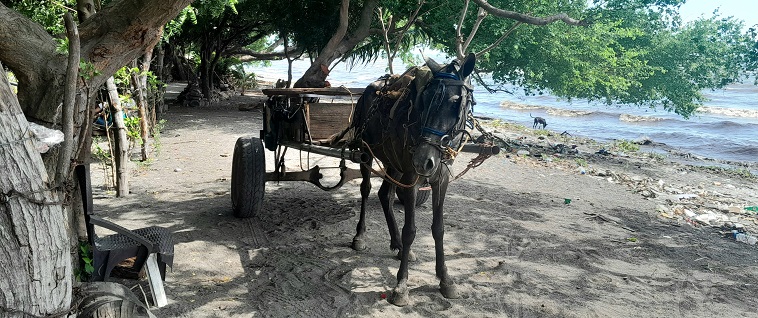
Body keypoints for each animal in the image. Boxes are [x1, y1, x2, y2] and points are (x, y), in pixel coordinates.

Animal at [348, 52, 476, 306]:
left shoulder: (440, 179)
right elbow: (411, 230)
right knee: (366, 189)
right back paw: (360, 236)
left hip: (393, 162)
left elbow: (439, 229)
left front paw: (445, 279)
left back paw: (396, 245)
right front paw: (401, 285)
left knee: (385, 195)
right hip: (366, 152)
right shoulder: (412, 177)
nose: (423, 160)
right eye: (425, 98)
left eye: (455, 102)